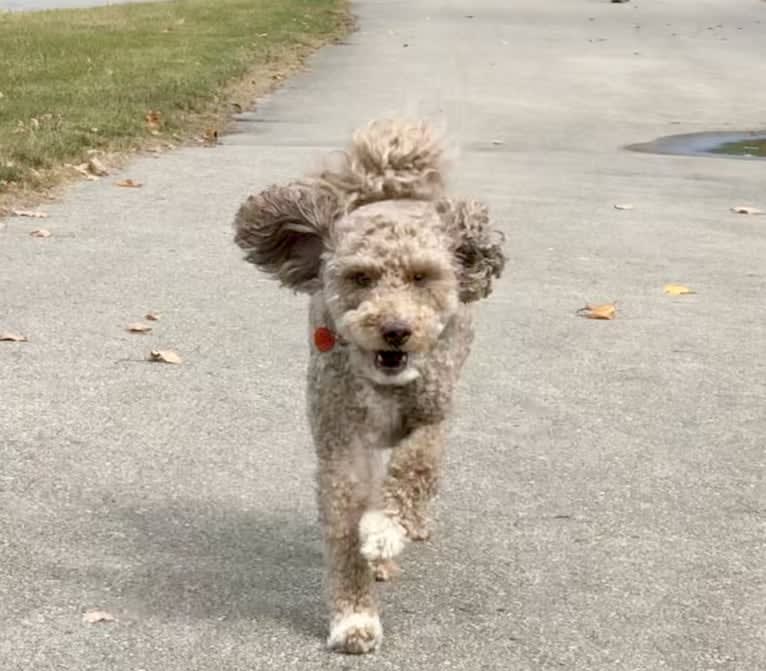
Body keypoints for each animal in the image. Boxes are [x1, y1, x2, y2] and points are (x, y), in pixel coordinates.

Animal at [234, 118, 510, 652]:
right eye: (360, 277)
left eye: (422, 277)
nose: (395, 330)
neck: (383, 383)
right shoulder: (341, 442)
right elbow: (345, 531)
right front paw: (354, 618)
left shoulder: (432, 414)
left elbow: (414, 469)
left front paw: (385, 530)